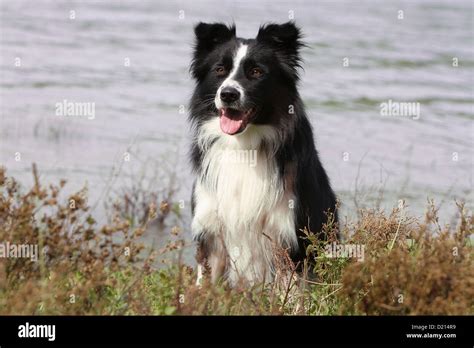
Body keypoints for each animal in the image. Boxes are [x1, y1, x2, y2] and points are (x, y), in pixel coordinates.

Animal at [189, 21, 336, 286]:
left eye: (256, 72)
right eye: (220, 70)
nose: (228, 94)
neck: (242, 146)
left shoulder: (288, 239)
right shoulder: (211, 232)